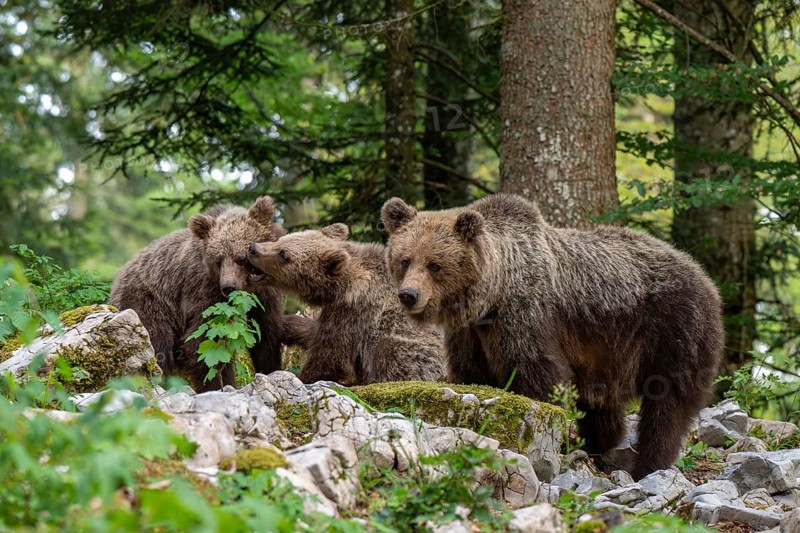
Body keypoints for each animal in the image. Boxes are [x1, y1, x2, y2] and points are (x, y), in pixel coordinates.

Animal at [108, 197, 286, 392]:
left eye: (241, 258)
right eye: (218, 260)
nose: (228, 287)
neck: (249, 291)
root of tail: (118, 278)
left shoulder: (266, 297)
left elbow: (266, 337)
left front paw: (271, 370)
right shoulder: (204, 294)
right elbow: (206, 342)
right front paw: (220, 384)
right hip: (148, 302)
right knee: (156, 342)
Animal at [247, 223, 446, 385]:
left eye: (284, 254)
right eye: (281, 239)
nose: (253, 248)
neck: (342, 286)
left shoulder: (355, 310)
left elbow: (330, 353)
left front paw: (301, 376)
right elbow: (315, 332)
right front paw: (288, 325)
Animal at [381, 193, 724, 480]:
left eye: (435, 264)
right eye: (405, 259)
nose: (408, 295)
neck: (492, 297)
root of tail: (705, 276)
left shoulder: (526, 317)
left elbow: (539, 375)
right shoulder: (470, 335)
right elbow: (472, 375)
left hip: (672, 329)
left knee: (668, 403)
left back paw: (648, 464)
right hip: (608, 353)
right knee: (603, 405)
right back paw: (595, 445)